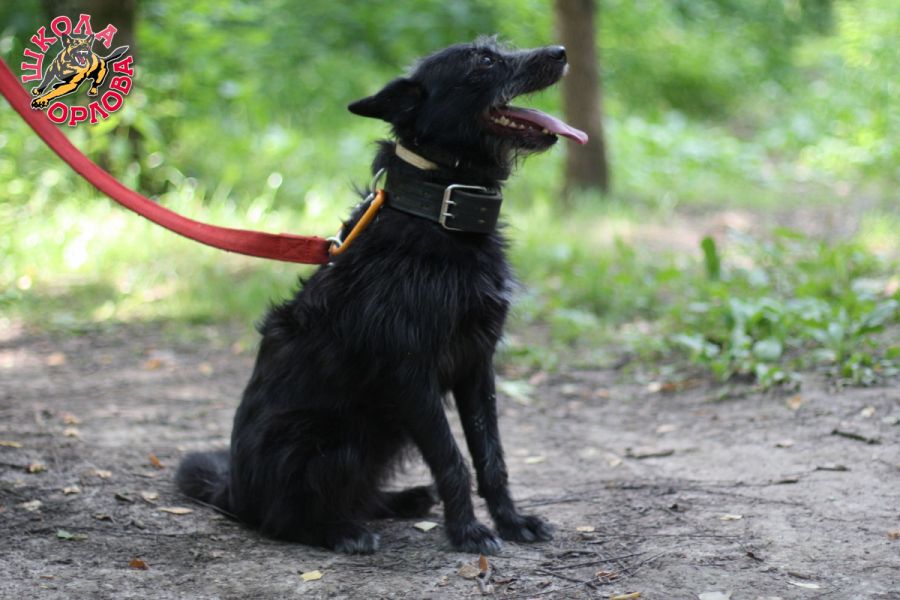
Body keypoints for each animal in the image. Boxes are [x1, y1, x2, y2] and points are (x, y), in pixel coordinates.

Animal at [176, 37, 587, 555]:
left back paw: (404, 500)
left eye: (499, 48)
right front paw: (468, 532)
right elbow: (452, 459)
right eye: (483, 61)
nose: (560, 52)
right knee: (283, 518)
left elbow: (491, 457)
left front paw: (512, 522)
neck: (439, 213)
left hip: (385, 436)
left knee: (359, 494)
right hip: (339, 438)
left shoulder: (477, 366)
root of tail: (233, 491)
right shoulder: (411, 375)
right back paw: (342, 532)